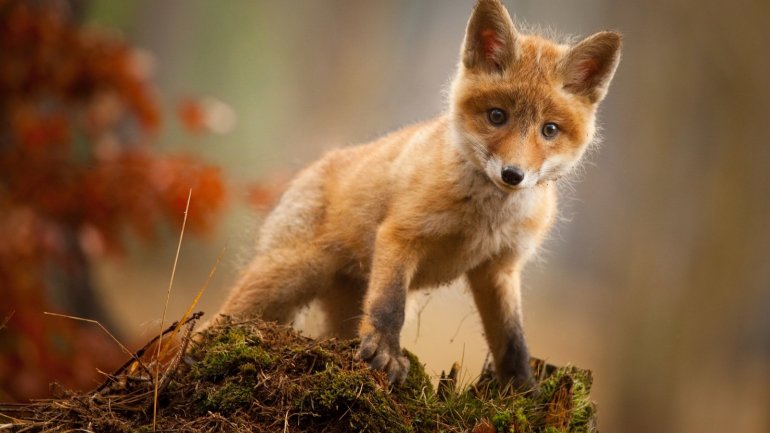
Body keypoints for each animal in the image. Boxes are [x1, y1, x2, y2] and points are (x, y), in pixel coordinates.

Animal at [212, 0, 621, 389]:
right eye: (497, 116)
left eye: (549, 130)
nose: (513, 175)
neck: (485, 219)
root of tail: (314, 166)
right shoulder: (401, 235)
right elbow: (390, 305)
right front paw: (386, 354)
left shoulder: (499, 268)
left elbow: (512, 341)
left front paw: (523, 391)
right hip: (283, 280)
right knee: (214, 323)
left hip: (339, 308)